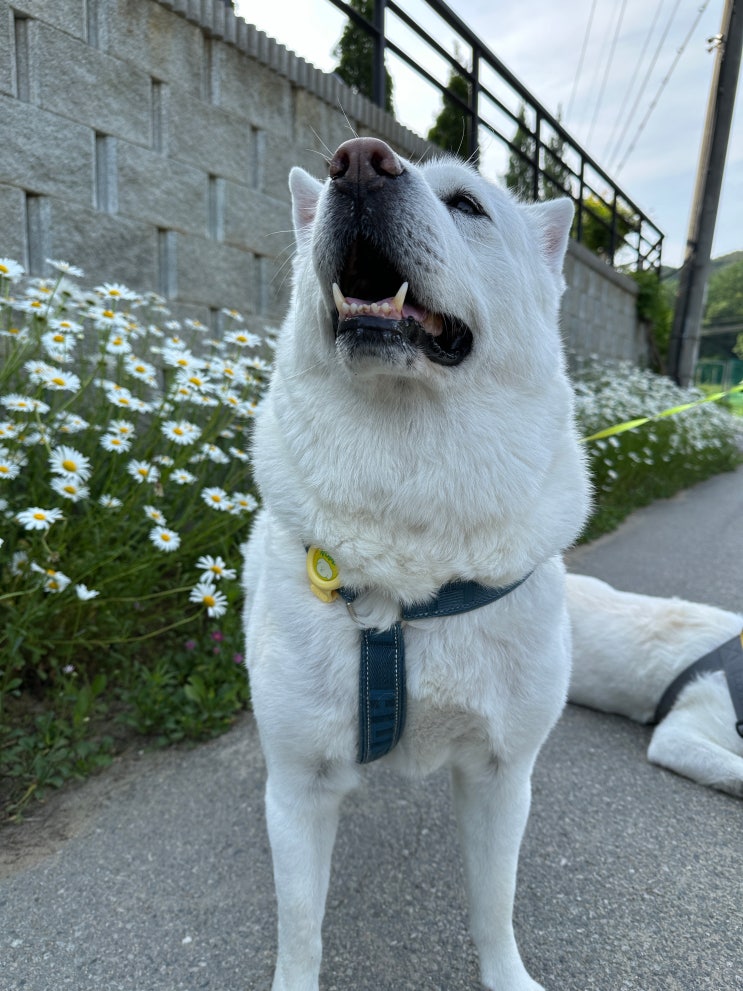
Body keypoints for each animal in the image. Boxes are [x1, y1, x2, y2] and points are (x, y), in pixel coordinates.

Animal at [242, 136, 590, 991]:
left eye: (466, 204)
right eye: (342, 166)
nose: (357, 162)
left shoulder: (501, 774)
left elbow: (494, 905)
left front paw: (506, 977)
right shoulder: (298, 787)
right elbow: (299, 929)